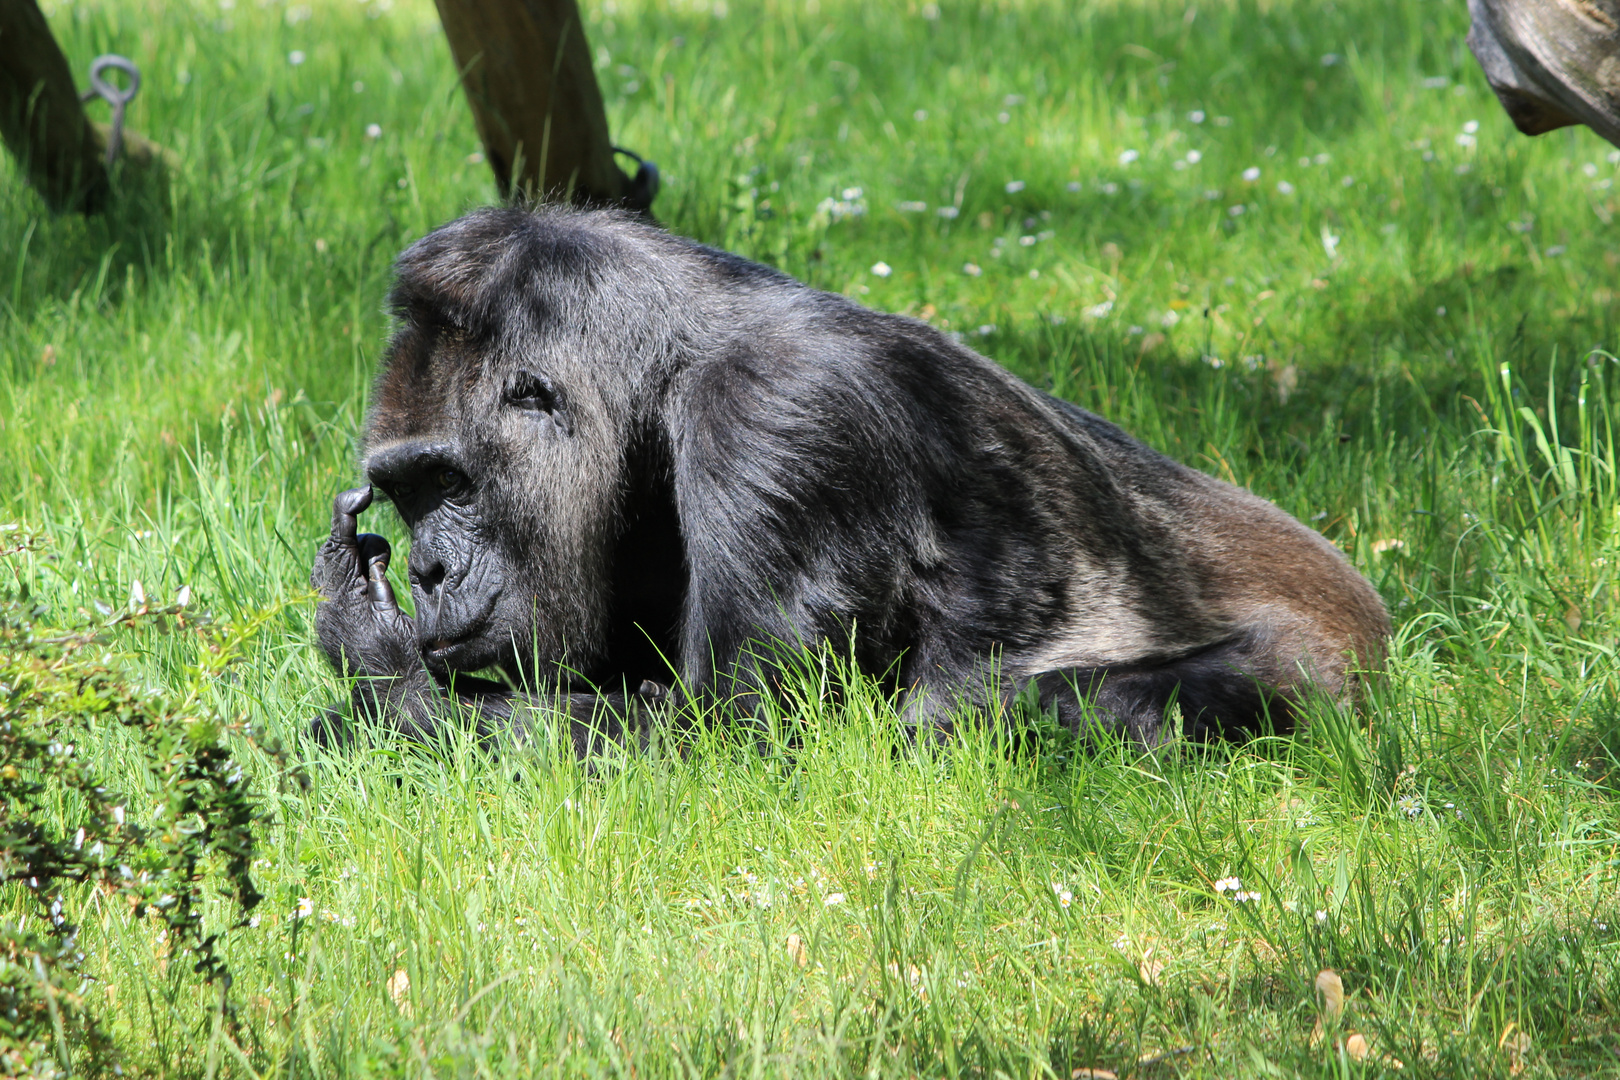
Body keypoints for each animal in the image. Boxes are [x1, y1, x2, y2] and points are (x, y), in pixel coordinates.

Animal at [309, 208, 1386, 751]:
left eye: (447, 482)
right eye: (406, 493)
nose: (428, 575)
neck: (662, 373)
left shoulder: (778, 421)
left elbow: (738, 738)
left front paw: (382, 687)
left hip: (1333, 672)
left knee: (1095, 713)